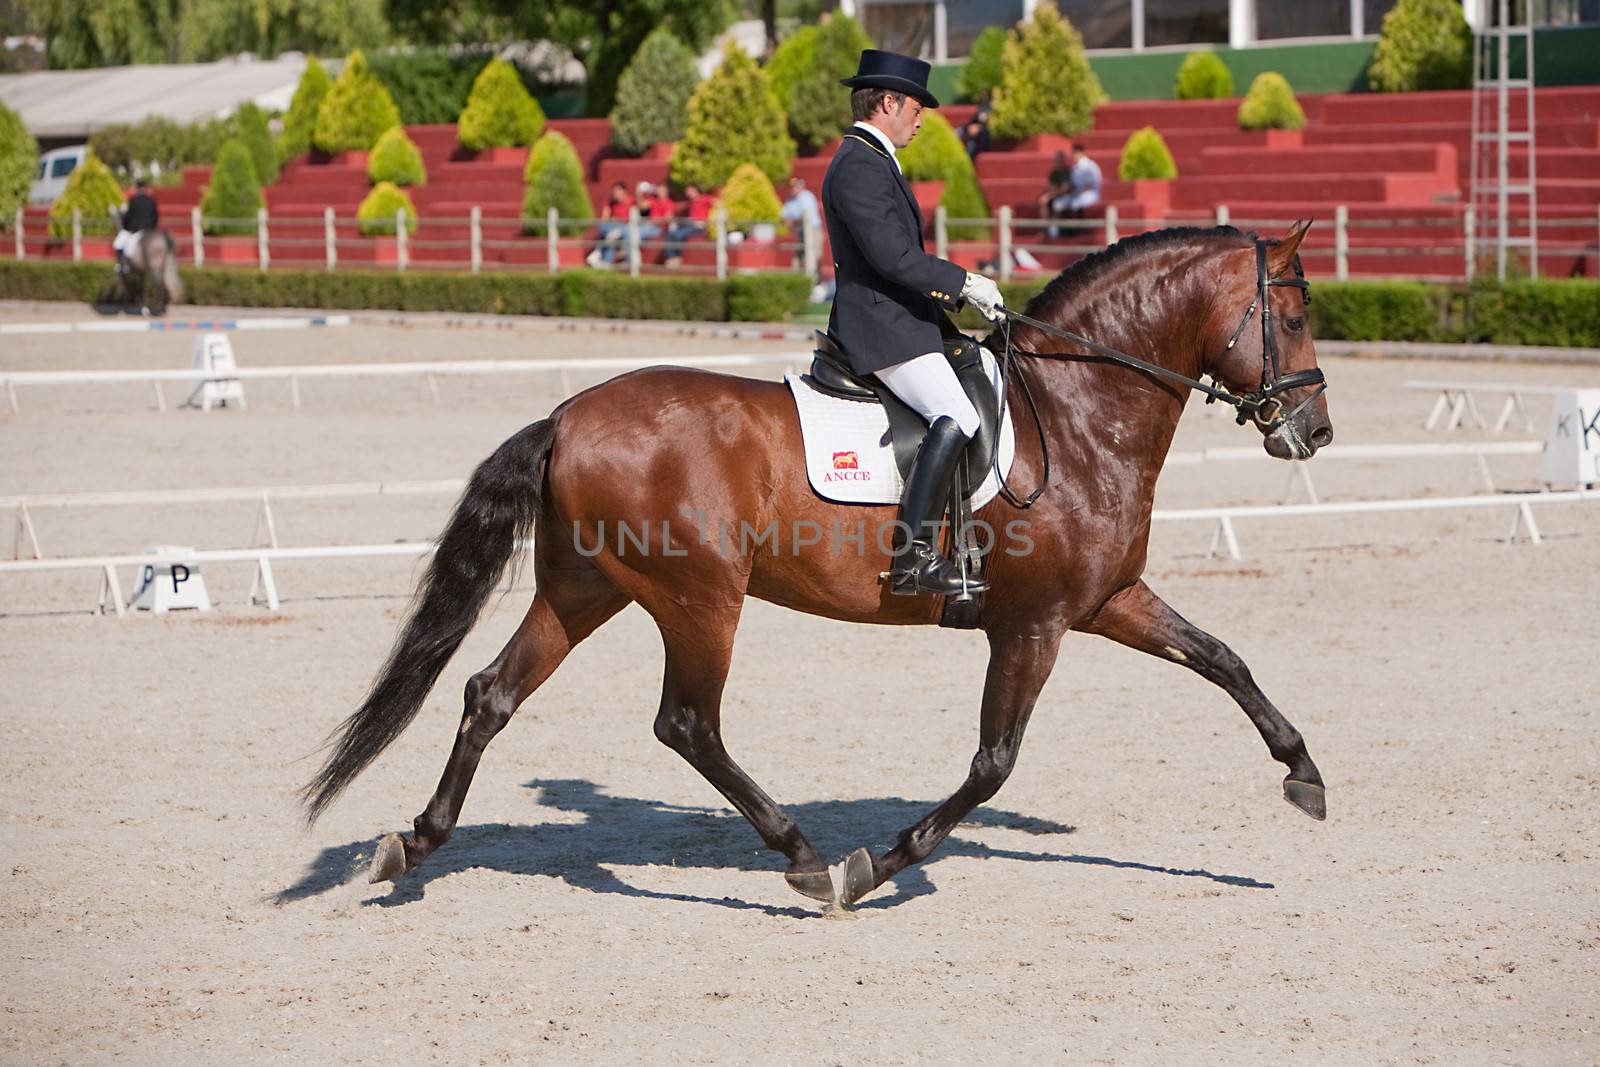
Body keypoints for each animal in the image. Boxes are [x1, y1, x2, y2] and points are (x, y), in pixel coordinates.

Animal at [305, 220, 1331, 908]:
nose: (1315, 431)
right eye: (1293, 312)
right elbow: (993, 761)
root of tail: (567, 415)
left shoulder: (1107, 598)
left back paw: (414, 843)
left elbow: (1224, 658)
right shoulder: (1034, 623)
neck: (1076, 414)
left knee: (491, 693)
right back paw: (801, 855)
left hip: (586, 589)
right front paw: (878, 862)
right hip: (700, 599)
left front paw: (1303, 773)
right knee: (687, 723)